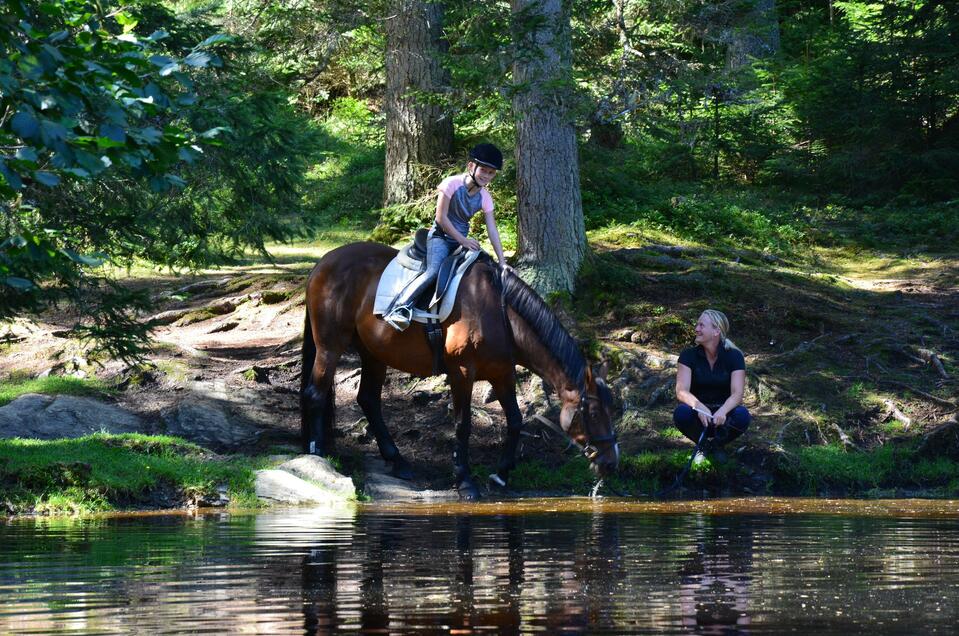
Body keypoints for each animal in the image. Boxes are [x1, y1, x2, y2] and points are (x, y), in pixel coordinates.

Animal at [302, 241, 624, 500]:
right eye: (594, 413)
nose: (611, 462)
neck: (500, 313)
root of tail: (324, 262)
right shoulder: (461, 373)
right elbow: (463, 425)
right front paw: (465, 481)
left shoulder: (502, 374)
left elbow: (516, 421)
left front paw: (501, 475)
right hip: (330, 346)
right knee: (315, 392)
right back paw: (315, 452)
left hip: (374, 354)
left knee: (368, 399)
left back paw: (397, 461)